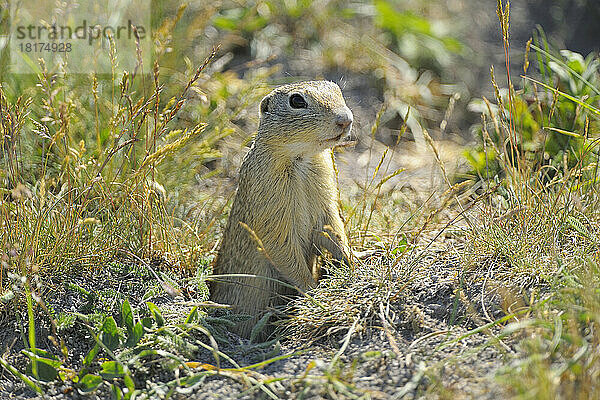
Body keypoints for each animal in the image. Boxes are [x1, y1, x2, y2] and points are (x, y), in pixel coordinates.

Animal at [210, 81, 354, 338]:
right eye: (297, 101)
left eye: (337, 89)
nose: (345, 120)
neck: (302, 159)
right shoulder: (272, 211)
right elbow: (282, 250)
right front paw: (315, 291)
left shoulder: (326, 203)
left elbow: (334, 231)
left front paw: (354, 262)